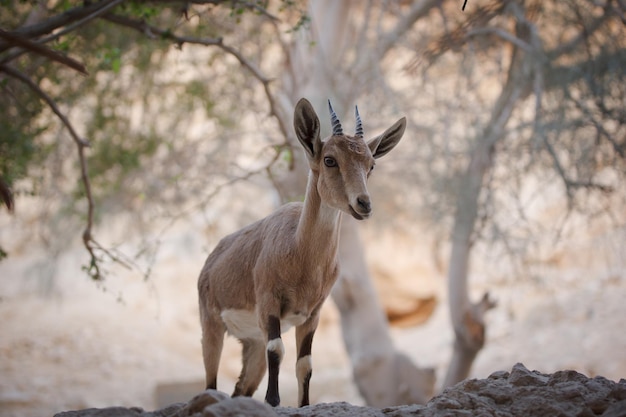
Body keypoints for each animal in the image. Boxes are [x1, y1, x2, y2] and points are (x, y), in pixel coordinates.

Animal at [197, 96, 408, 404]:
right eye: (329, 159)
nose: (363, 204)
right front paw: (272, 402)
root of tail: (210, 262)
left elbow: (305, 364)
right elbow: (277, 350)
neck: (300, 254)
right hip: (212, 325)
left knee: (240, 389)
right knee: (211, 384)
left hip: (252, 341)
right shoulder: (269, 303)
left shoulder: (311, 314)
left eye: (371, 164)